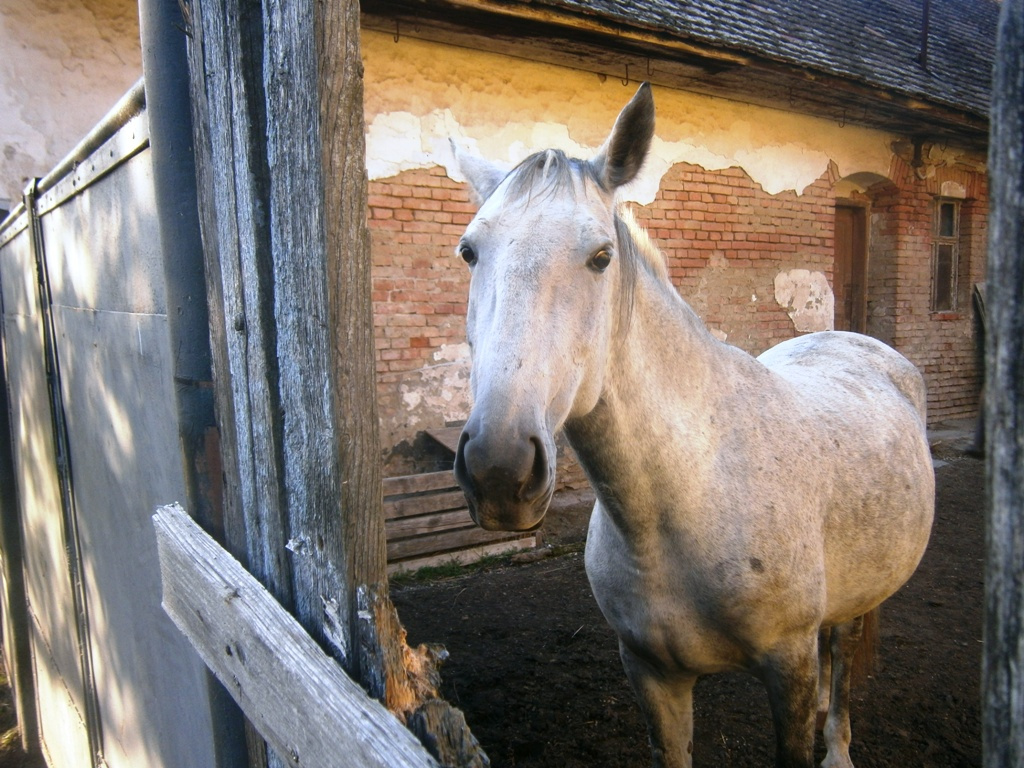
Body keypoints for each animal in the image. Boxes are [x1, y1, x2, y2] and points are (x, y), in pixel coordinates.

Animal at [452, 81, 933, 765]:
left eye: (601, 256)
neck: (686, 497)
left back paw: (837, 745)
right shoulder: (653, 675)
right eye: (470, 251)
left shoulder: (787, 664)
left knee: (840, 656)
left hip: (858, 599)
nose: (499, 468)